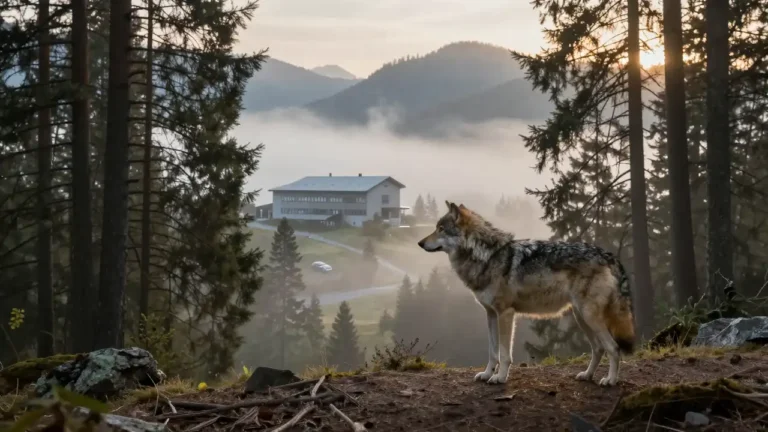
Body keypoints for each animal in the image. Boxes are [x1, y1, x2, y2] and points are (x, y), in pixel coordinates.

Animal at [417, 201, 635, 386]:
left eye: (441, 229)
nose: (419, 243)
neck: (487, 256)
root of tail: (608, 255)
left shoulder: (505, 313)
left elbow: (504, 354)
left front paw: (500, 378)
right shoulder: (490, 314)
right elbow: (492, 352)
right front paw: (487, 374)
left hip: (589, 316)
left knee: (613, 348)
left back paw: (610, 380)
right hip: (581, 317)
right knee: (598, 348)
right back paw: (587, 375)